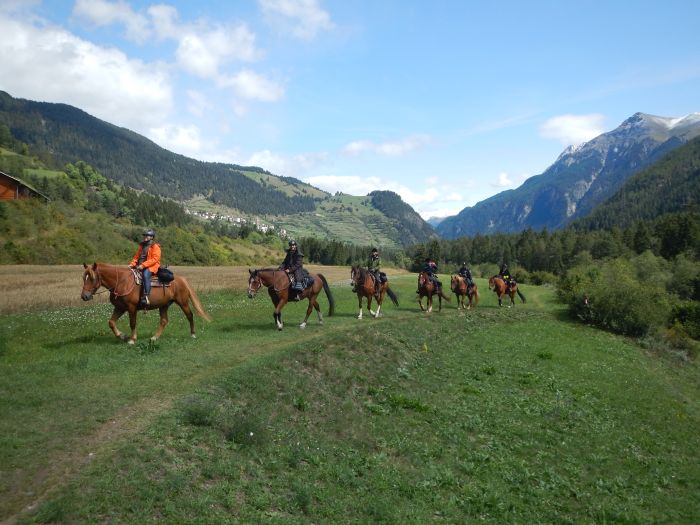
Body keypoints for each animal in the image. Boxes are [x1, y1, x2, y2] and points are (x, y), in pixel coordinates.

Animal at [80, 262, 209, 344]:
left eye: (92, 278)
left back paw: (193, 334)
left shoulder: (131, 308)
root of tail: (181, 279)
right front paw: (122, 336)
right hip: (164, 305)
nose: (84, 296)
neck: (121, 282)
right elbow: (111, 322)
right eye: (83, 278)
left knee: (190, 315)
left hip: (183, 302)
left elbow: (132, 323)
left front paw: (132, 339)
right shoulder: (120, 308)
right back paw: (154, 338)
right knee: (164, 321)